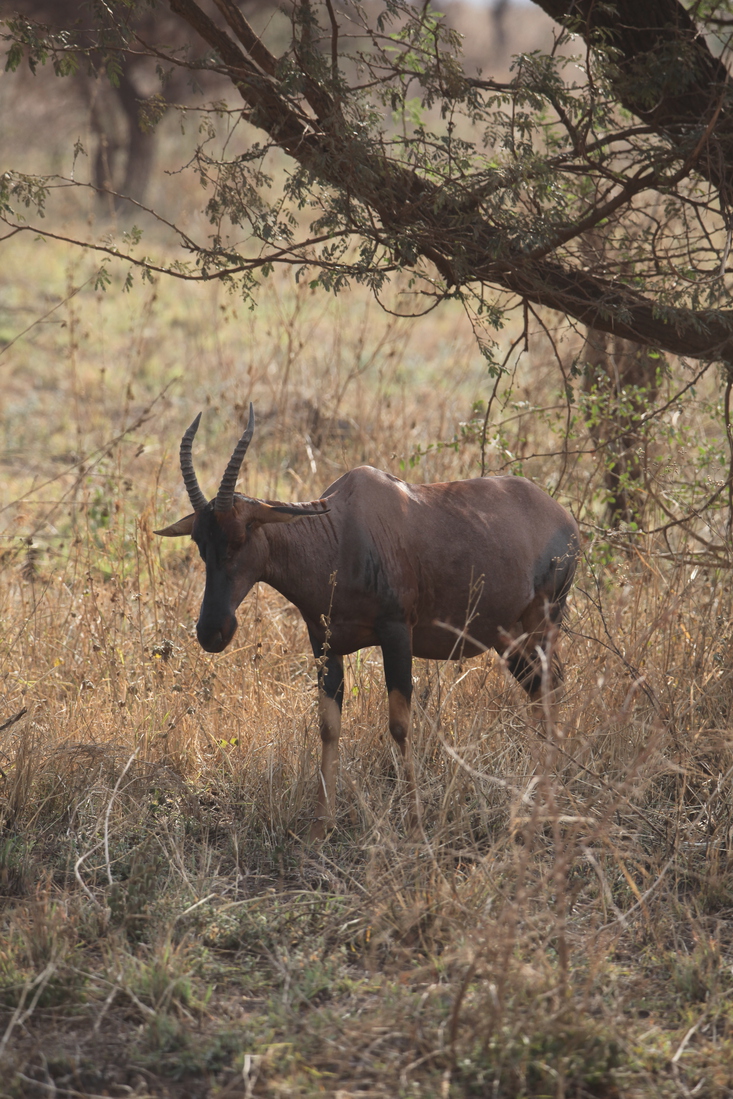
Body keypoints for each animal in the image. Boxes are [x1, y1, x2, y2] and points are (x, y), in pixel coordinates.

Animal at [158, 408, 580, 835]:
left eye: (240, 535)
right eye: (199, 541)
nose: (212, 631)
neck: (340, 531)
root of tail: (562, 515)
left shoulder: (397, 634)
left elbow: (399, 724)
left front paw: (415, 822)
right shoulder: (324, 643)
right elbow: (328, 726)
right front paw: (321, 826)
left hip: (542, 619)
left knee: (551, 684)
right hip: (508, 635)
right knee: (538, 688)